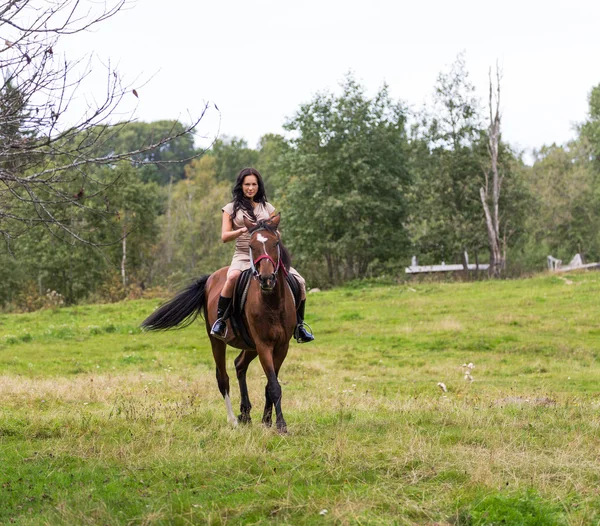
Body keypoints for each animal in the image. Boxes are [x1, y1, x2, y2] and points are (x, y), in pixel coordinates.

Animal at [143, 213, 298, 434]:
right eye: (251, 246)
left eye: (275, 243)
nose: (267, 279)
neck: (272, 302)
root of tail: (211, 278)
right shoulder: (263, 345)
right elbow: (274, 386)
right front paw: (281, 425)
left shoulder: (281, 345)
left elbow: (271, 384)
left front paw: (268, 421)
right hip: (218, 341)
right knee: (223, 378)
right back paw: (233, 419)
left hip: (250, 345)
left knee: (240, 365)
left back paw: (246, 414)